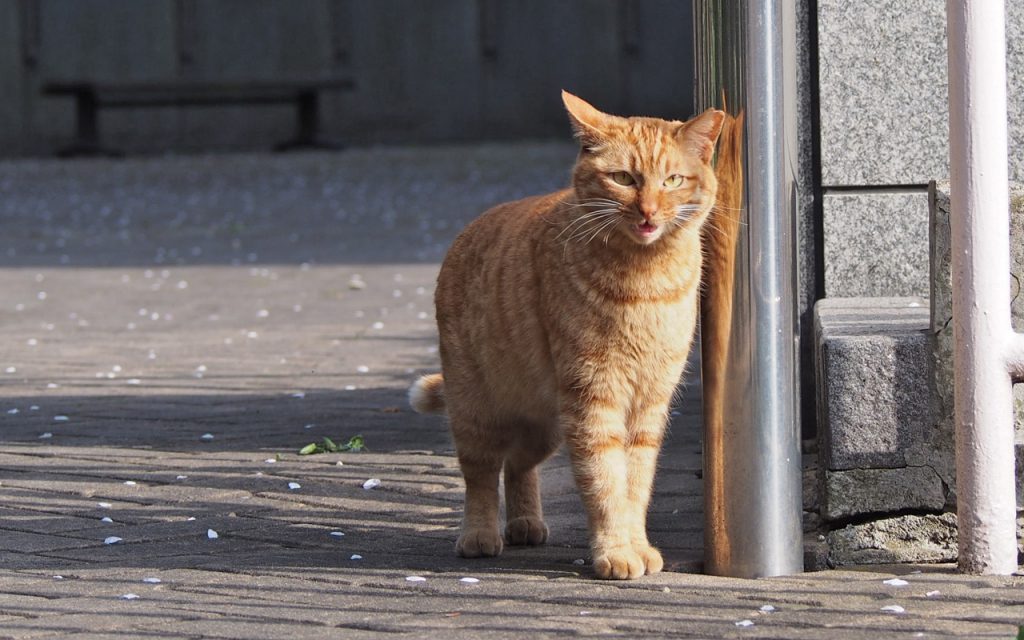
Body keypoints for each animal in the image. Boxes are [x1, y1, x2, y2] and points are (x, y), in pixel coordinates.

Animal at [411, 93, 724, 577]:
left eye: (672, 180)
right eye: (623, 178)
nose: (649, 212)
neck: (646, 281)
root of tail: (466, 232)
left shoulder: (649, 404)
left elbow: (635, 484)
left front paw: (637, 545)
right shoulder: (595, 398)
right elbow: (605, 482)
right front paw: (616, 551)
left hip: (546, 428)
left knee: (518, 467)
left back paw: (524, 523)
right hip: (476, 411)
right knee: (482, 476)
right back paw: (480, 534)